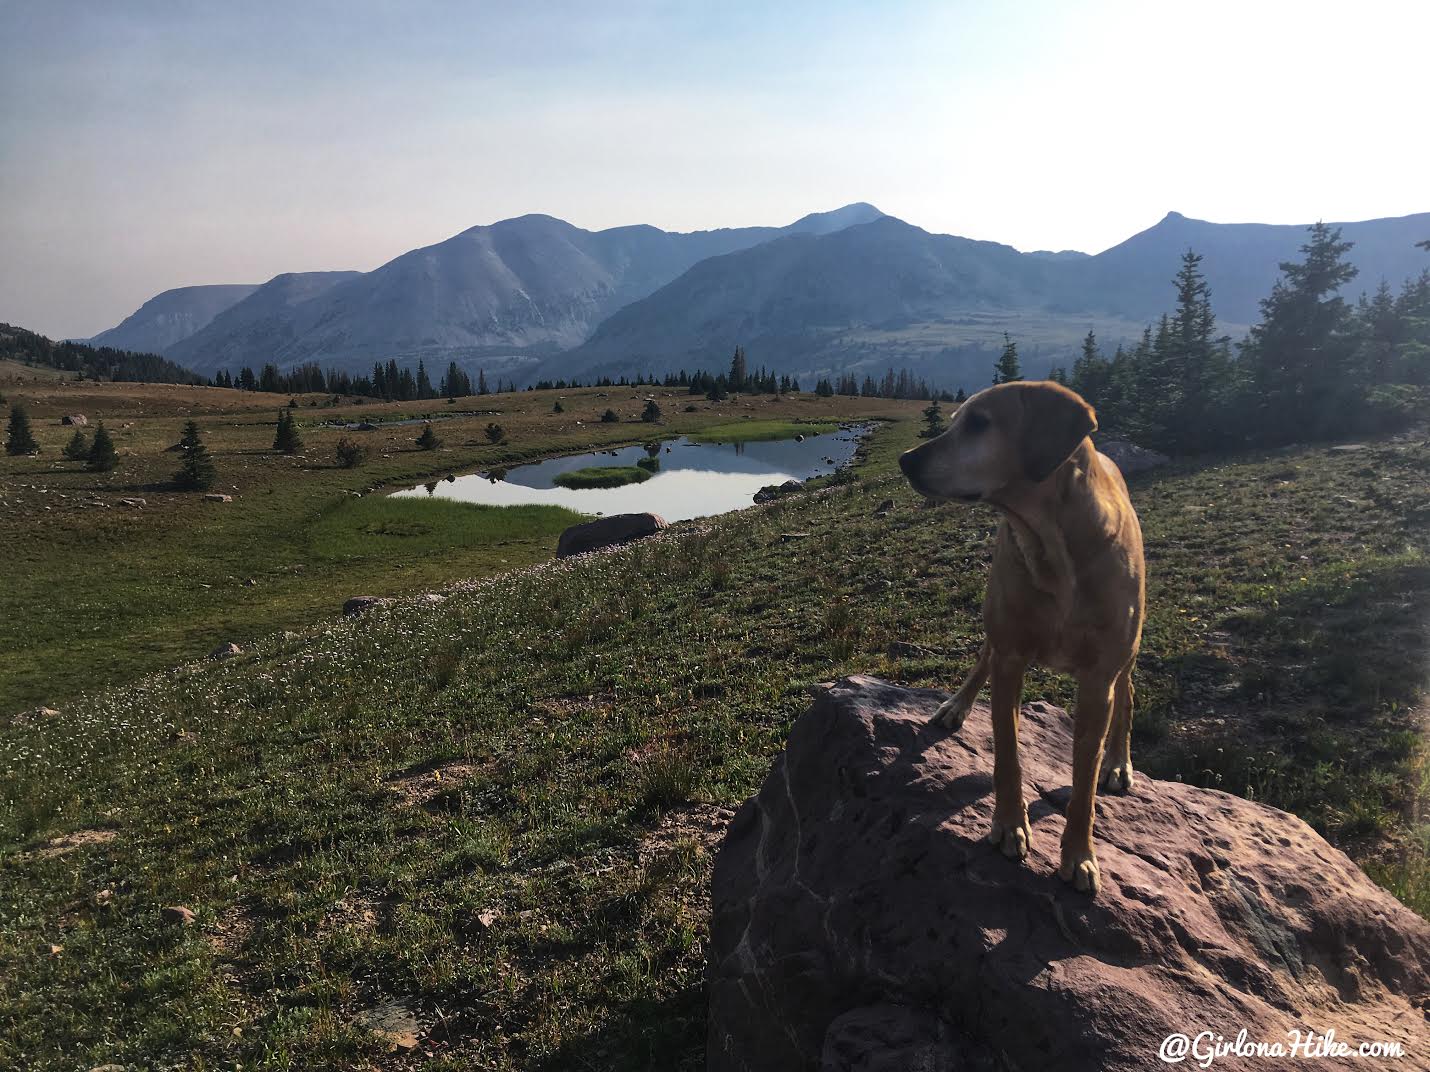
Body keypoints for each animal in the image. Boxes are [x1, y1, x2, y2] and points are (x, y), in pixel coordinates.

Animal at [898, 383, 1144, 891]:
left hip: (1127, 653)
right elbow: (1008, 754)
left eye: (979, 423)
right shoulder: (1011, 657)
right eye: (955, 420)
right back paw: (957, 705)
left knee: (1127, 697)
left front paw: (1080, 854)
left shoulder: (1098, 683)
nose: (906, 460)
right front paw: (1010, 825)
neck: (1054, 551)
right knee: (983, 656)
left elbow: (1084, 780)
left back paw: (1119, 761)